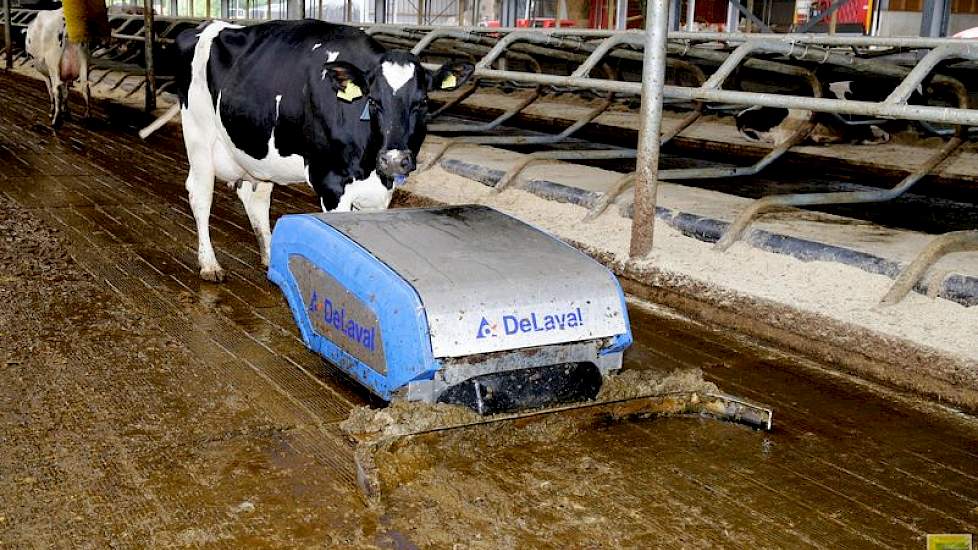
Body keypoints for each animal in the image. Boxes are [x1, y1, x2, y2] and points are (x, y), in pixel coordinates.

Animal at [139, 19, 470, 282]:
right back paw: (210, 265)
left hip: (258, 156)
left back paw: (271, 258)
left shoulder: (381, 192)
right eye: (374, 101)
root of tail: (204, 26)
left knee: (255, 199)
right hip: (199, 137)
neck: (368, 164)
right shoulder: (331, 182)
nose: (394, 160)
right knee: (200, 195)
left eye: (423, 102)